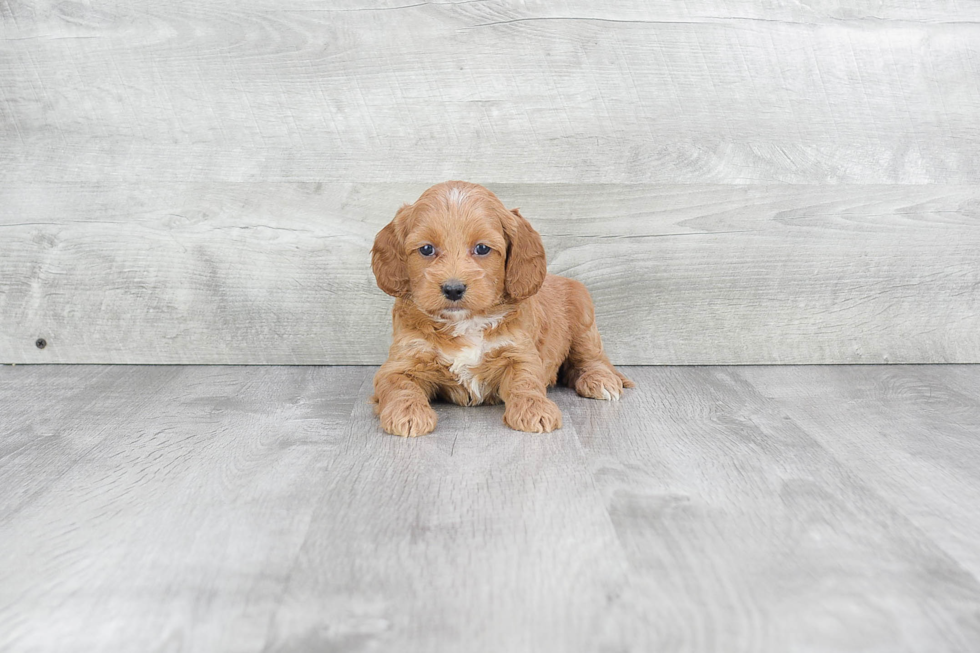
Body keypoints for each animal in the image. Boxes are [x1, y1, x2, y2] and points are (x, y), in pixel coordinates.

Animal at [370, 181, 636, 436]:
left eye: (482, 249)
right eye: (426, 249)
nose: (453, 289)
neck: (466, 322)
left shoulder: (520, 352)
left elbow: (526, 381)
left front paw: (535, 410)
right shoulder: (402, 361)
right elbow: (399, 385)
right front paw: (408, 414)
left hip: (583, 319)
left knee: (592, 358)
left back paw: (600, 380)